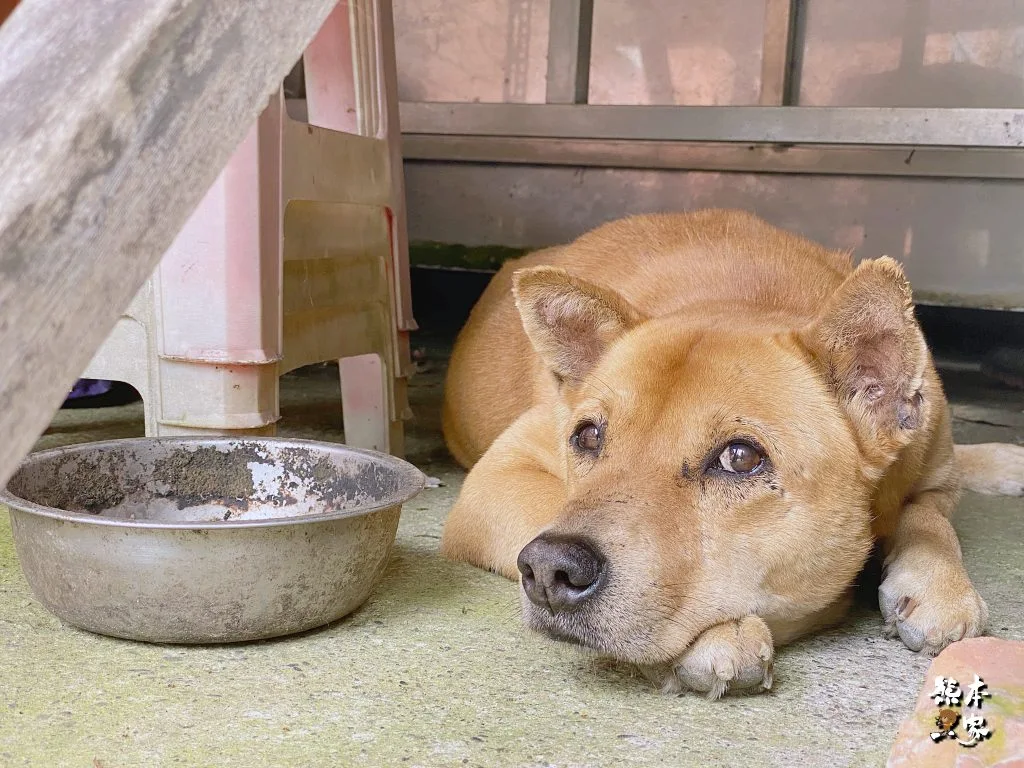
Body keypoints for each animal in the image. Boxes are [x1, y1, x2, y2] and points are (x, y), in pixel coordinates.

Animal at [438, 208, 1024, 696]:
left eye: (740, 459)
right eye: (587, 437)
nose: (547, 571)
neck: (752, 298)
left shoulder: (931, 474)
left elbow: (930, 520)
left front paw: (940, 586)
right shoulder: (498, 474)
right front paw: (721, 635)